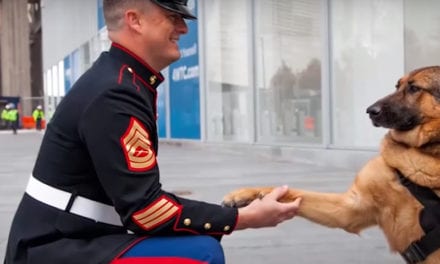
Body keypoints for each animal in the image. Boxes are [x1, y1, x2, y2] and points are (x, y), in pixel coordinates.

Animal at [225, 66, 440, 262]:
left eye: (414, 88)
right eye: (397, 86)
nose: (370, 111)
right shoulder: (349, 208)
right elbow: (294, 192)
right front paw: (246, 194)